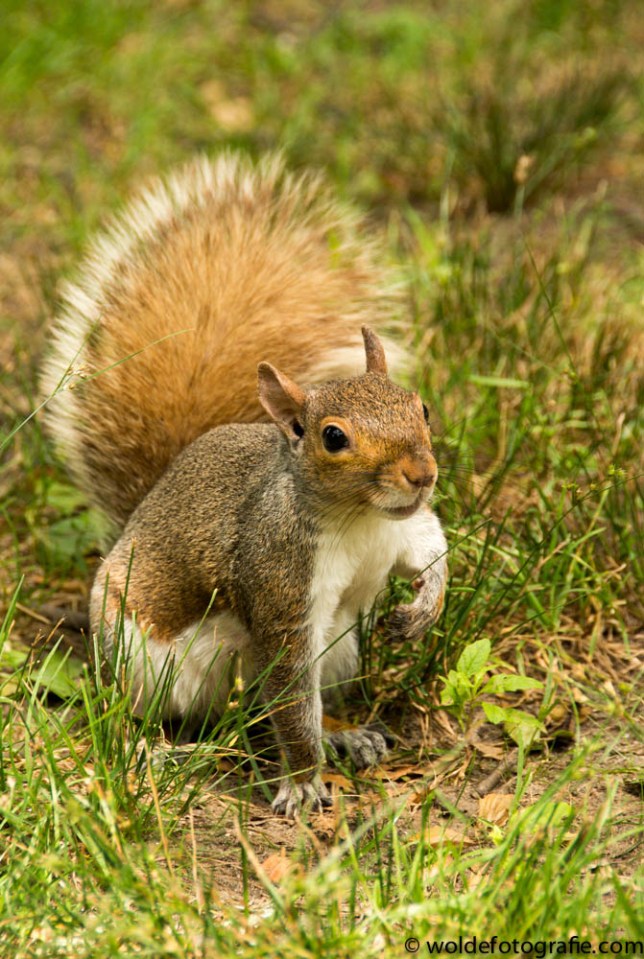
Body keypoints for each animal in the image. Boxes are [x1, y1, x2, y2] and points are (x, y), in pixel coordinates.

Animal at [41, 152, 448, 817]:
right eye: (333, 437)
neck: (361, 519)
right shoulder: (280, 582)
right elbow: (291, 699)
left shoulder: (404, 528)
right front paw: (303, 782)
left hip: (338, 647)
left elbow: (431, 553)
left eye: (423, 408)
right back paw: (153, 750)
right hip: (142, 659)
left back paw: (346, 735)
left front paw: (423, 610)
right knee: (141, 709)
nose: (422, 474)